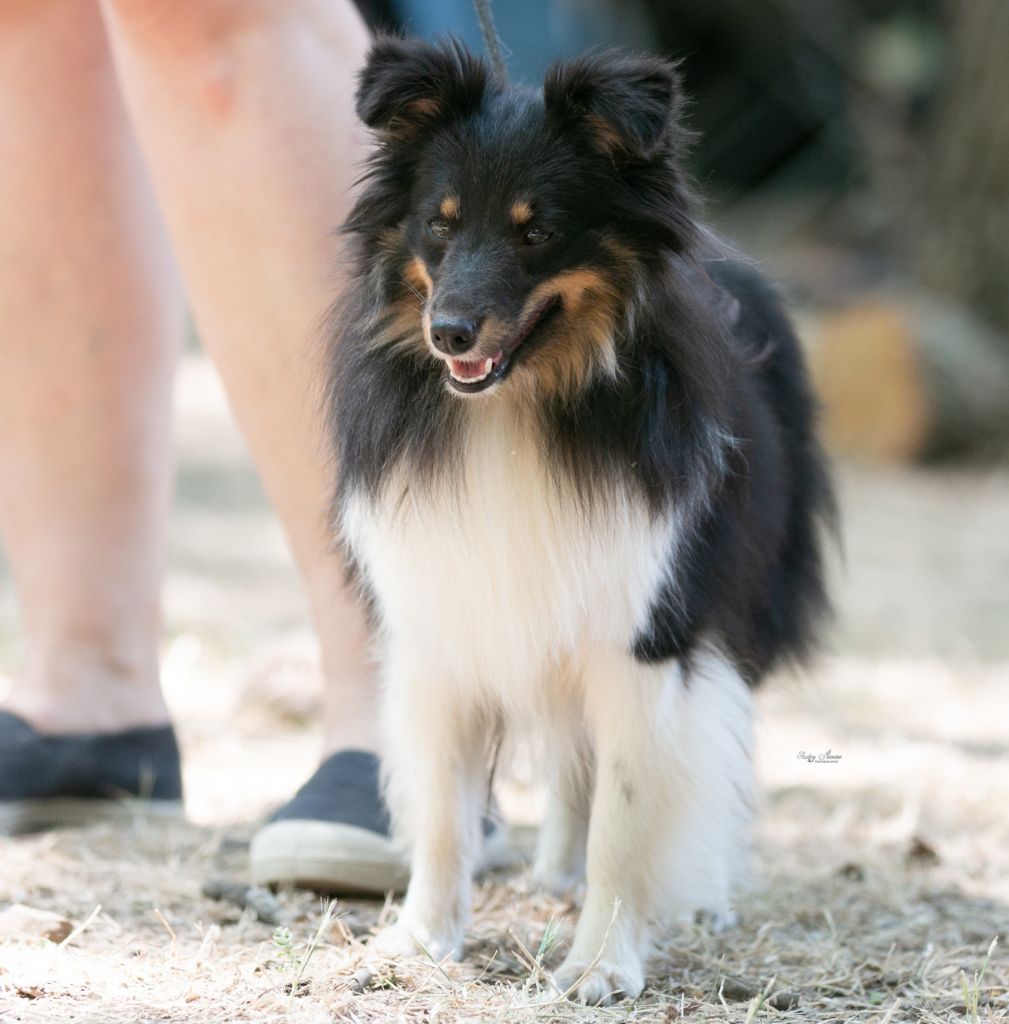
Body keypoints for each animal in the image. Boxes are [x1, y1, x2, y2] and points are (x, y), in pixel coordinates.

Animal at [327, 37, 831, 999]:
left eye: (537, 230)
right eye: (438, 224)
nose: (450, 332)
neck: (519, 404)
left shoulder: (645, 630)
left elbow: (629, 818)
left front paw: (599, 966)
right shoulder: (441, 613)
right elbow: (445, 806)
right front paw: (419, 941)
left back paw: (704, 894)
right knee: (570, 758)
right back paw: (554, 870)